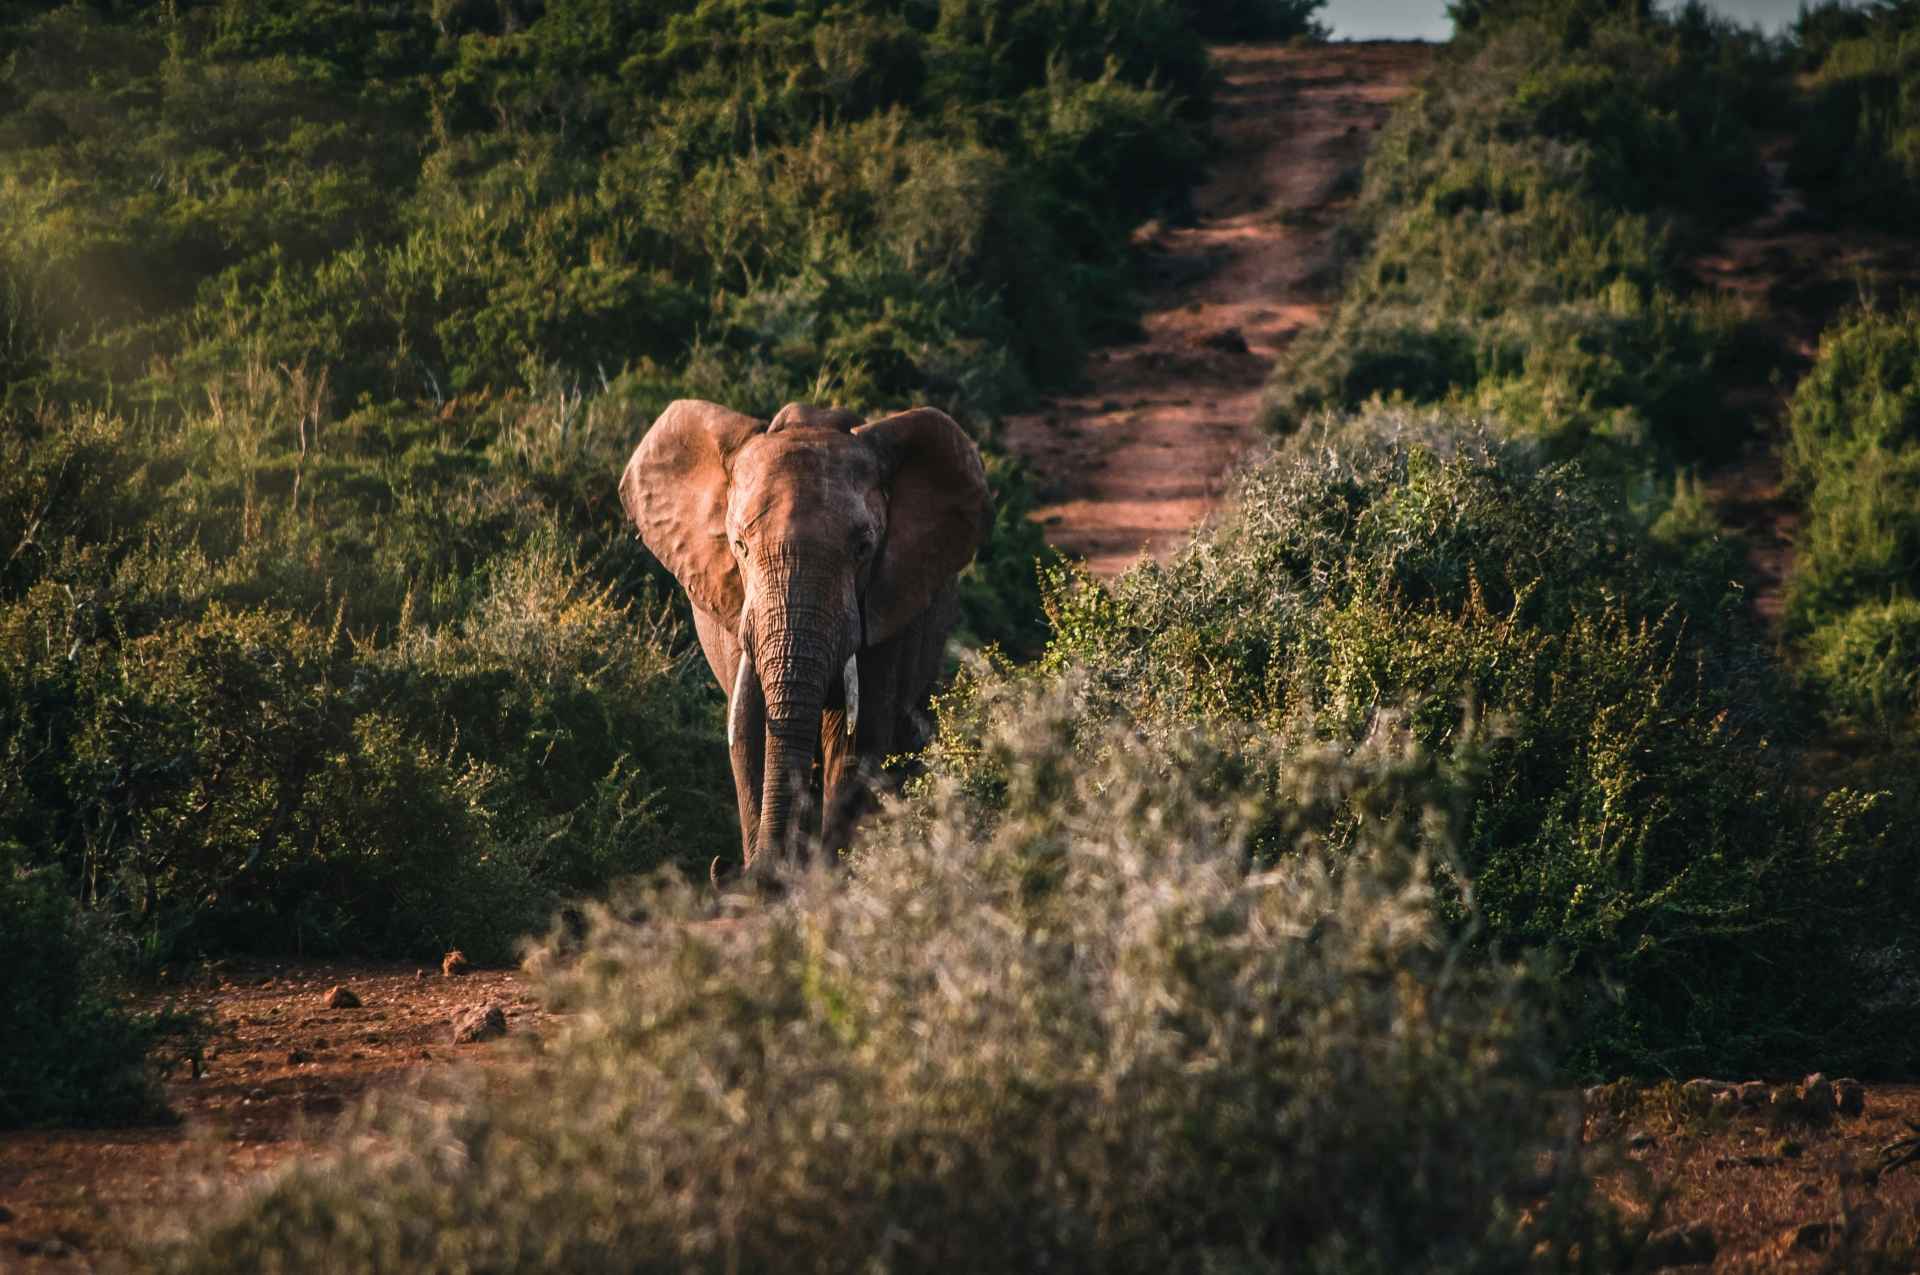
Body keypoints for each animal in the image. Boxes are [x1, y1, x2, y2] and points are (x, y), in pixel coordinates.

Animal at [621, 399, 991, 874]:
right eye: (739, 546)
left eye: (863, 549)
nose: (727, 869)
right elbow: (749, 731)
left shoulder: (885, 609)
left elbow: (856, 738)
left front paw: (827, 877)